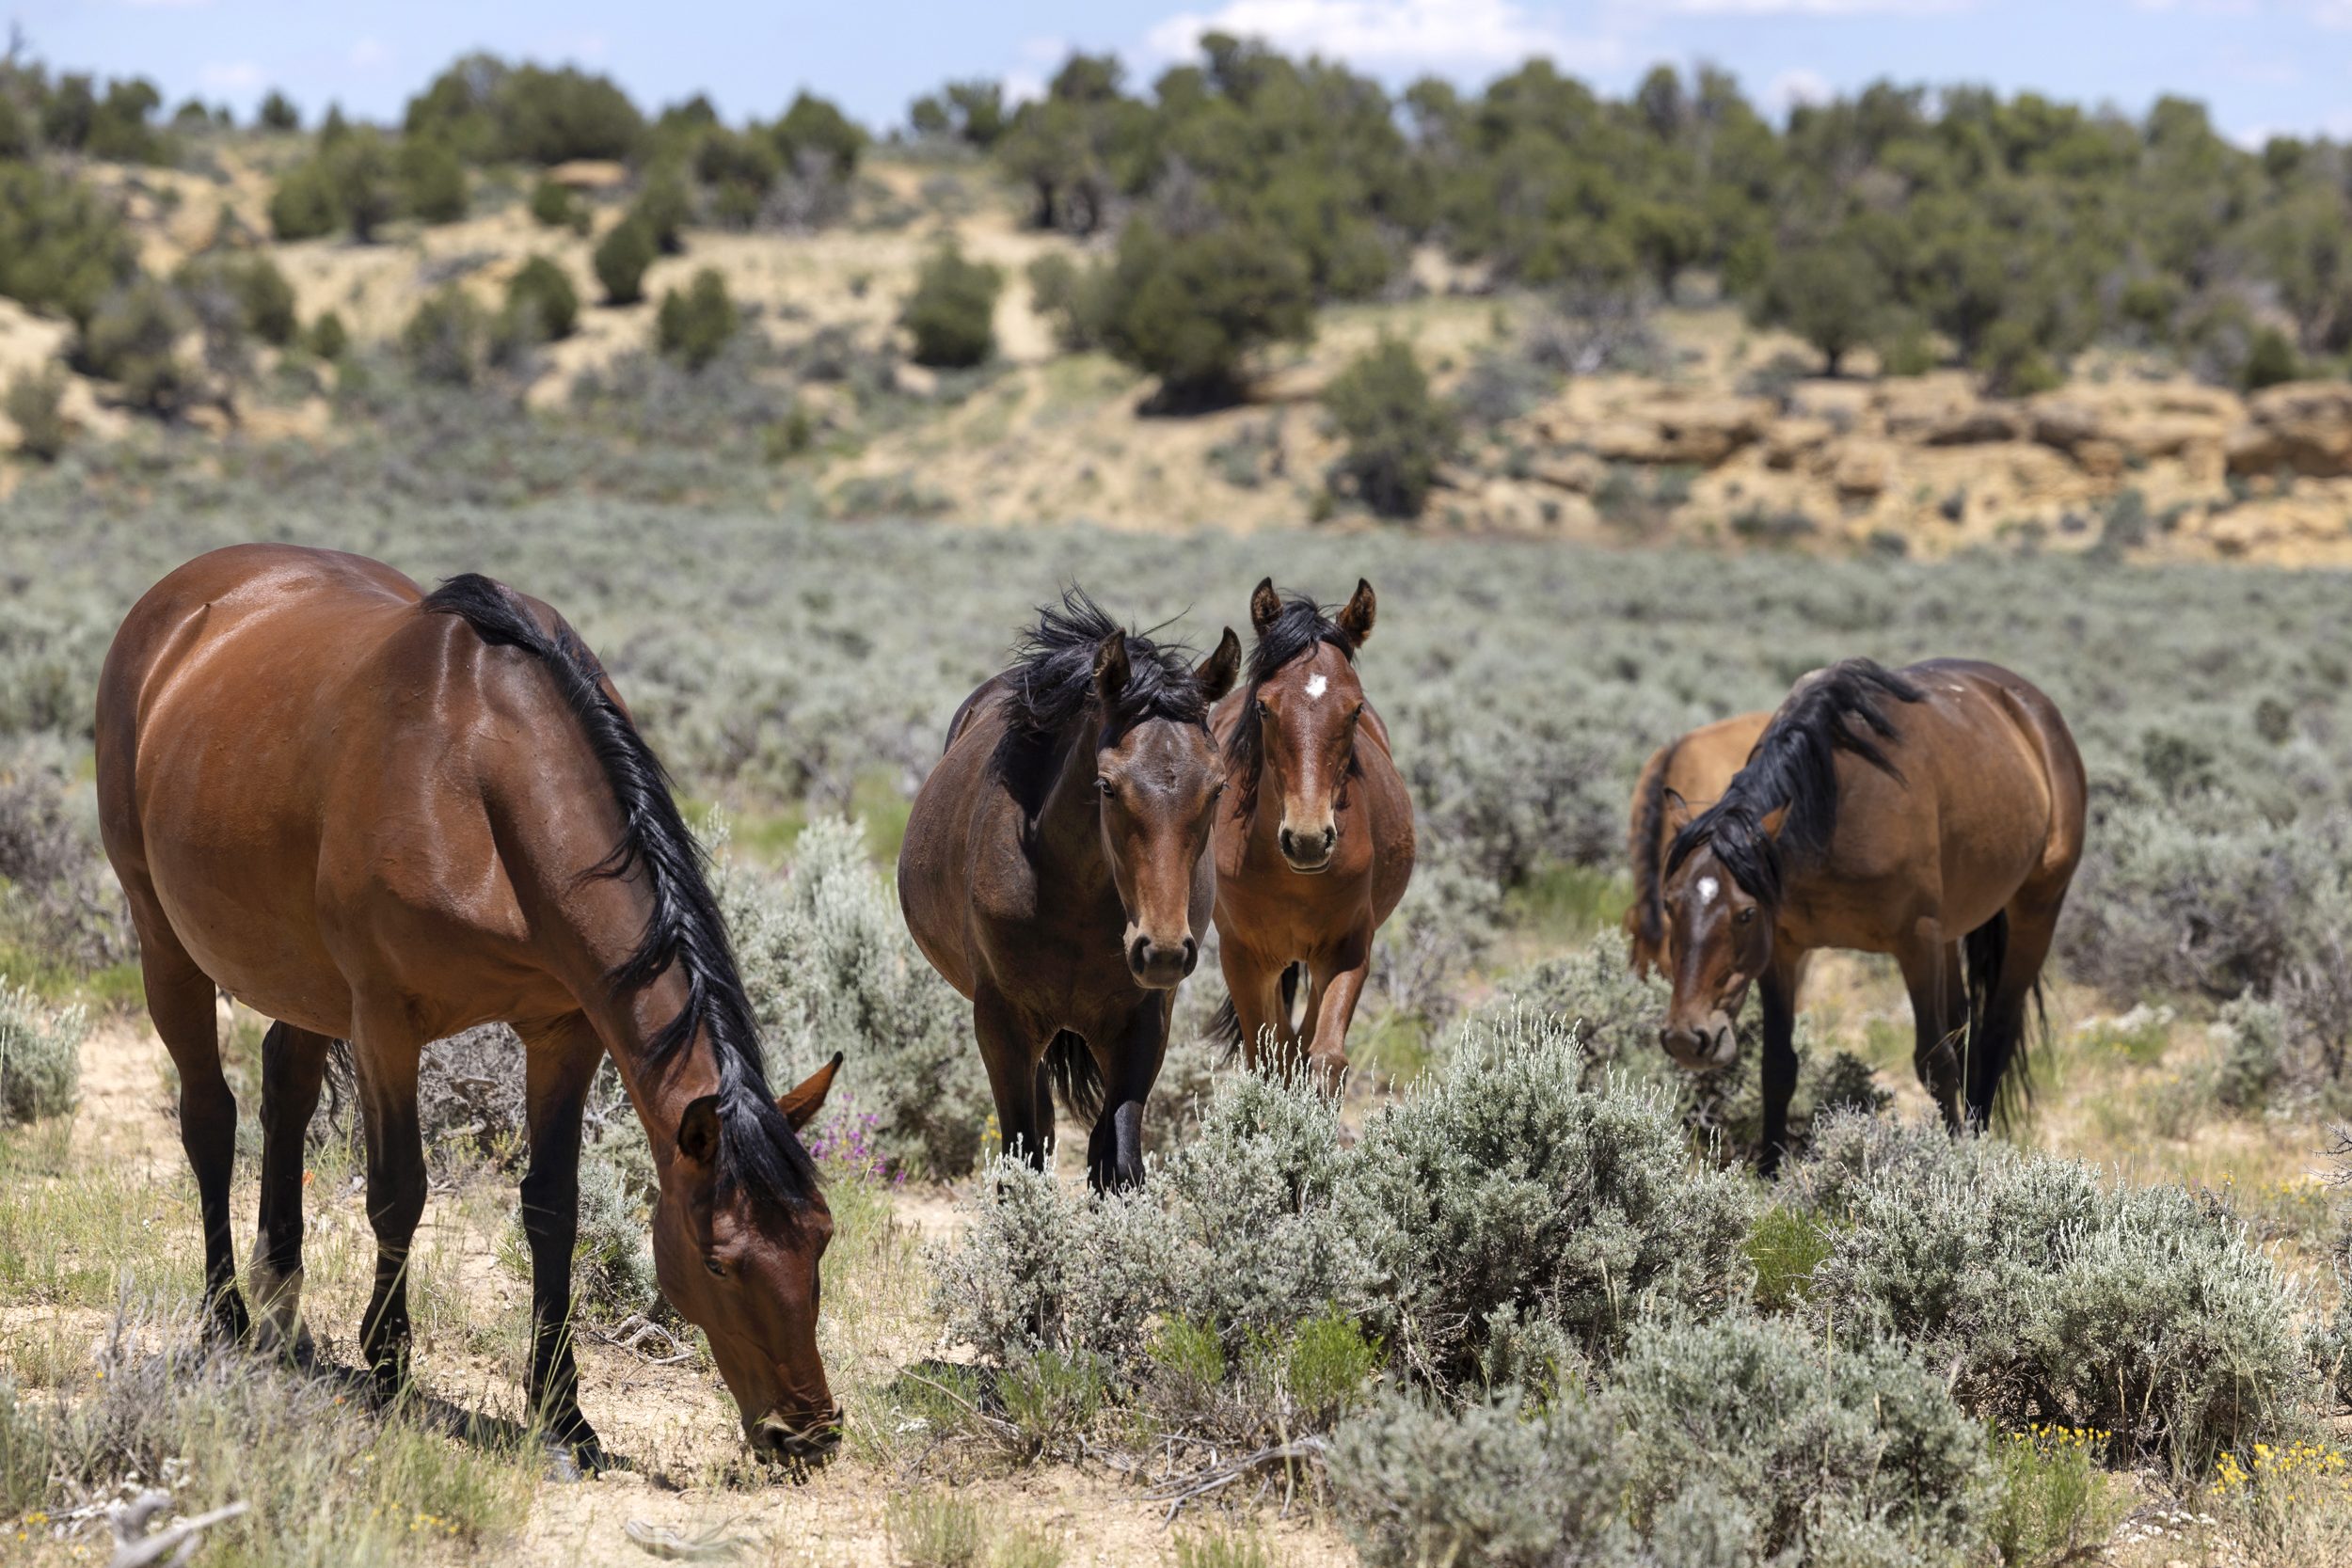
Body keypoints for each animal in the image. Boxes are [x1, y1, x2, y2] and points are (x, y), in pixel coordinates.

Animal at [105, 543, 856, 1476]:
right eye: (719, 1264)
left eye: (821, 1237)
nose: (808, 1434)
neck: (475, 771)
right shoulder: (386, 1023)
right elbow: (398, 1193)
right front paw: (390, 1369)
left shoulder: (565, 1030)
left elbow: (553, 1206)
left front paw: (565, 1414)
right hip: (163, 939)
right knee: (210, 1117)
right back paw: (229, 1320)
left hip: (302, 978)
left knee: (286, 1087)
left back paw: (279, 1306)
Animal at [889, 587, 1242, 1189]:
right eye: (1107, 786)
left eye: (1217, 788)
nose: (1162, 951)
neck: (1074, 897)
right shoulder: (1002, 1021)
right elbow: (1024, 1152)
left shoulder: (1145, 1023)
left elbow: (1117, 1158)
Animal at [1214, 582, 1411, 1085]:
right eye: (1264, 707)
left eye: (1355, 709)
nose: (1307, 839)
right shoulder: (1243, 956)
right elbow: (1269, 1057)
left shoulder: (1347, 949)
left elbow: (1323, 1058)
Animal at [1646, 657, 2089, 1170]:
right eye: (1670, 902)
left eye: (1745, 913)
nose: (1687, 1037)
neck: (1837, 808)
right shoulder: (1783, 950)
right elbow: (1778, 1063)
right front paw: (1769, 1169)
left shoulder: (1916, 941)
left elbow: (1934, 1062)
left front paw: (1953, 1163)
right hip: (1952, 929)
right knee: (1964, 1026)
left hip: (2035, 909)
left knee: (1994, 1030)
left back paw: (1975, 1141)